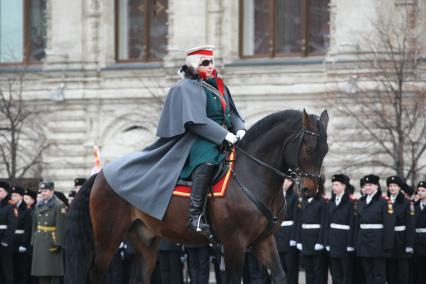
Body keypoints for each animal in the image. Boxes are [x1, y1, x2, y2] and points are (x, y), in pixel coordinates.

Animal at [65, 109, 330, 284]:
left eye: (325, 151)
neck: (254, 175)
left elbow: (280, 276)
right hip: (107, 240)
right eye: (309, 149)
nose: (309, 190)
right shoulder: (234, 244)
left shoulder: (263, 241)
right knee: (95, 275)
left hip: (145, 240)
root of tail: (102, 174)